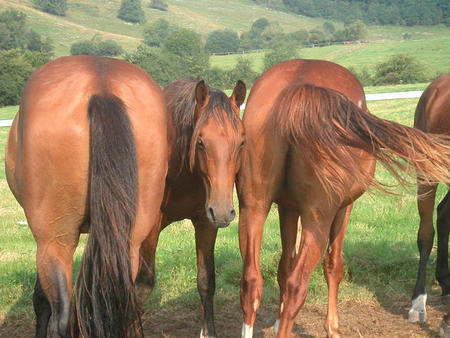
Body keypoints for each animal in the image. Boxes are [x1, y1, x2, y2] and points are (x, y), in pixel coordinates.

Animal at [137, 78, 246, 336]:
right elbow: (142, 285)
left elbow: (206, 280)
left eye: (241, 142)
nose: (224, 212)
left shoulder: (206, 221)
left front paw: (209, 331)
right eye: (201, 142)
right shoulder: (151, 227)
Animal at [236, 59, 450, 336]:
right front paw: (332, 328)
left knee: (252, 281)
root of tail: (296, 88)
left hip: (253, 209)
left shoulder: (287, 208)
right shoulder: (343, 209)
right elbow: (333, 265)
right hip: (319, 219)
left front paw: (276, 321)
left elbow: (284, 266)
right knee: (297, 285)